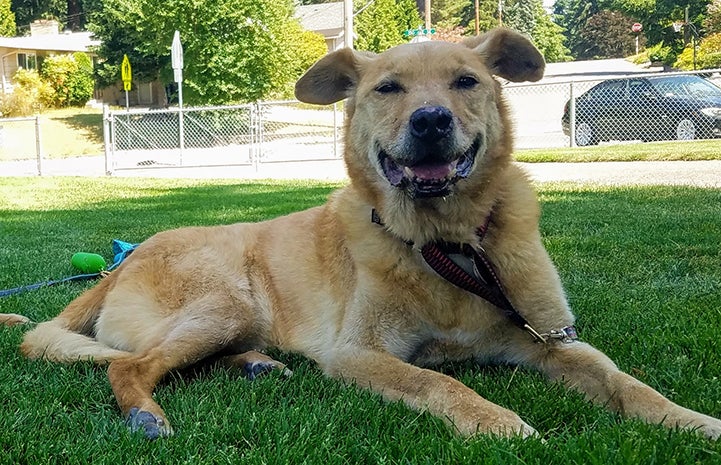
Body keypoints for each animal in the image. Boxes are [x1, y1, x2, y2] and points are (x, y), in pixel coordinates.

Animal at [4, 27, 720, 440]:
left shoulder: (549, 338)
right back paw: (147, 414)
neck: (445, 243)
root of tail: (120, 264)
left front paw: (689, 420)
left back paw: (256, 364)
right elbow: (440, 382)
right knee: (127, 365)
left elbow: (627, 383)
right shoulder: (356, 353)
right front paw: (498, 423)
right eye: (388, 88)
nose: (430, 120)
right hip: (224, 301)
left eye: (466, 81)